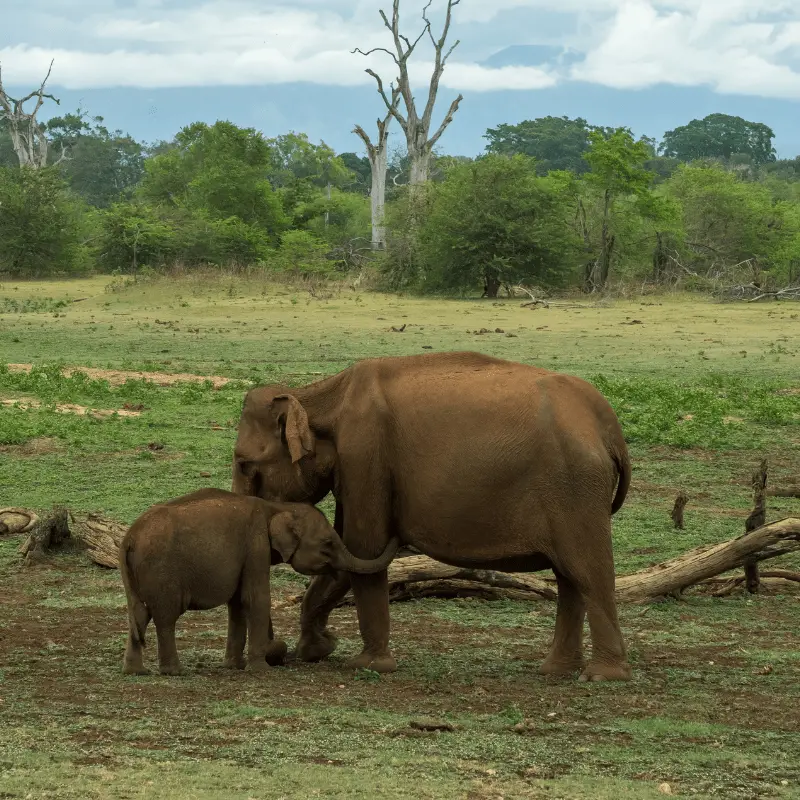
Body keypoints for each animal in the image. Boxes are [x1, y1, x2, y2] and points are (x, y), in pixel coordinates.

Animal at [119, 488, 400, 676]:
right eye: (328, 543)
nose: (331, 637)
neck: (275, 507)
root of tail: (129, 537)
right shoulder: (256, 545)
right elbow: (254, 598)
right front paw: (261, 669)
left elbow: (236, 604)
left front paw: (234, 666)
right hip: (161, 572)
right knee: (165, 617)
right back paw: (174, 671)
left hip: (136, 575)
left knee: (138, 613)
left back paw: (136, 671)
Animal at [231, 350, 632, 680]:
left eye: (243, 463)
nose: (276, 654)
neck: (321, 393)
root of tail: (609, 426)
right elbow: (347, 550)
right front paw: (317, 650)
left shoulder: (364, 453)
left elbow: (364, 547)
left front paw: (367, 665)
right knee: (569, 576)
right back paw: (556, 671)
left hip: (575, 487)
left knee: (588, 571)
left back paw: (602, 675)